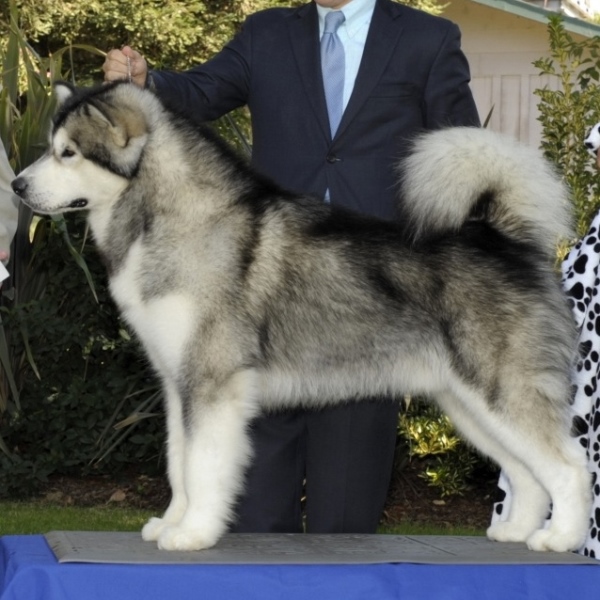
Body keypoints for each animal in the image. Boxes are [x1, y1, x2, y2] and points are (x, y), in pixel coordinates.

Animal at [11, 81, 592, 552]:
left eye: (67, 153)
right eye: (50, 148)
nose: (16, 185)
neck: (176, 220)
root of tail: (502, 239)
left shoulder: (212, 383)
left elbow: (202, 466)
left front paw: (194, 534)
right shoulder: (179, 385)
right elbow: (179, 463)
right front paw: (171, 523)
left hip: (502, 392)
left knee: (569, 467)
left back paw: (560, 539)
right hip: (469, 405)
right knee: (525, 472)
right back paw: (516, 531)